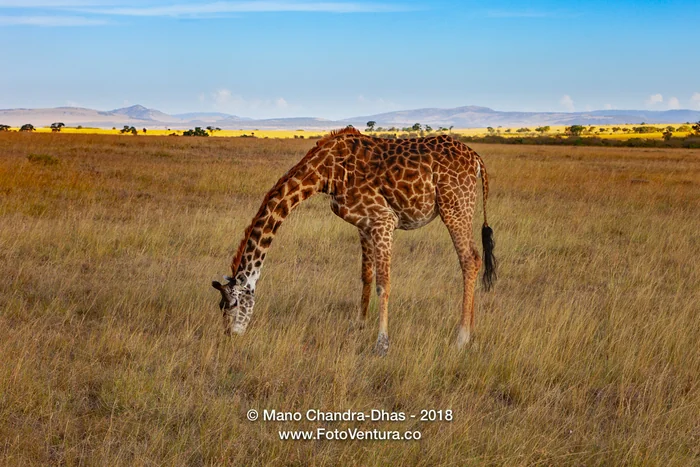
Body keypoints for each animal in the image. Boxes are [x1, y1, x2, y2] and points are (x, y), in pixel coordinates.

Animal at [212, 127, 497, 355]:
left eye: (232, 304)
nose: (230, 336)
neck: (325, 173)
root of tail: (477, 159)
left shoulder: (384, 219)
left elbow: (384, 283)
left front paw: (382, 344)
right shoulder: (365, 224)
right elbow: (366, 275)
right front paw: (359, 324)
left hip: (455, 206)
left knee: (470, 260)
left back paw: (462, 337)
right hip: (460, 207)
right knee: (474, 260)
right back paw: (471, 330)